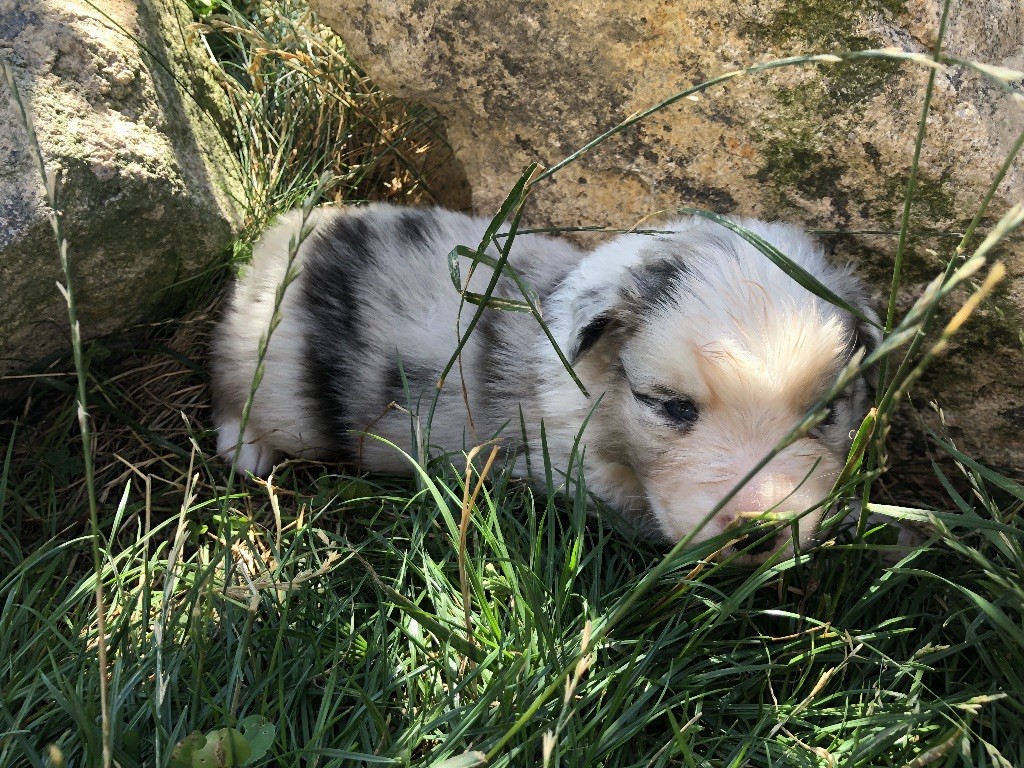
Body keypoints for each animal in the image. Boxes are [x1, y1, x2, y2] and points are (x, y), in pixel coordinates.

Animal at [211, 204, 880, 561]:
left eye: (826, 414)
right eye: (670, 406)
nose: (759, 530)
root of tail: (282, 238)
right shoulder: (572, 465)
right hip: (276, 381)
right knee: (230, 382)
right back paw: (244, 448)